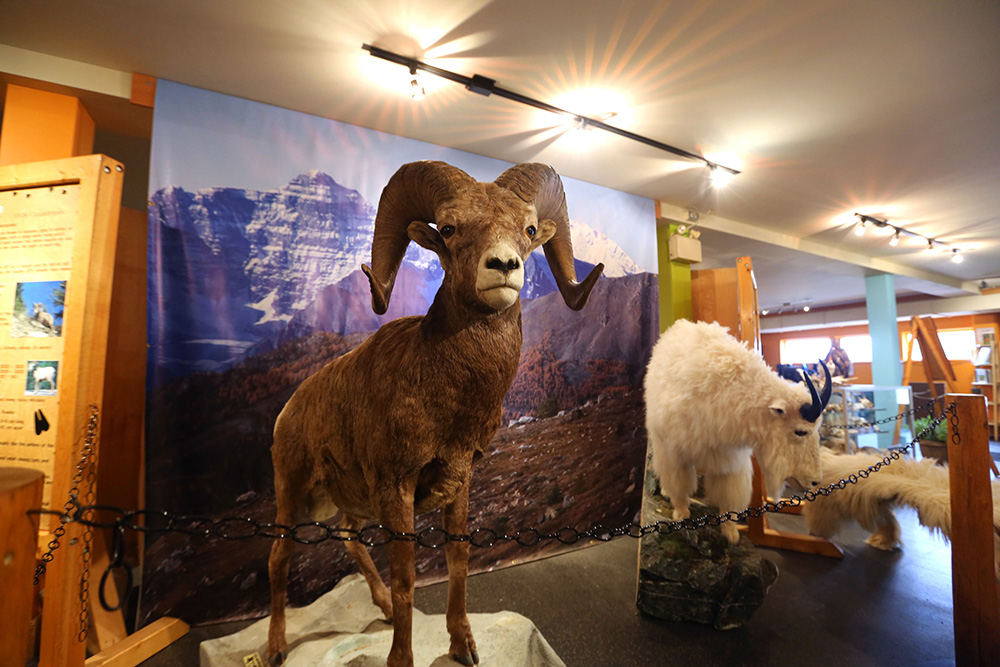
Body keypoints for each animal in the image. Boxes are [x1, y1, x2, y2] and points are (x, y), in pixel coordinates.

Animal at [266, 161, 603, 667]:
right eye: (448, 228)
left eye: (528, 230)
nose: (504, 266)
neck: (447, 401)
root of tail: (287, 409)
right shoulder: (396, 489)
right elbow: (407, 582)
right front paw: (401, 658)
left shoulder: (459, 482)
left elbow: (456, 563)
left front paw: (463, 646)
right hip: (292, 494)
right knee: (279, 556)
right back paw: (276, 648)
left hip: (348, 503)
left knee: (347, 536)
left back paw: (381, 609)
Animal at [643, 319, 831, 544]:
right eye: (800, 432)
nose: (815, 481)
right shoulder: (676, 452)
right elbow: (679, 484)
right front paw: (681, 512)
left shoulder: (730, 461)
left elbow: (728, 496)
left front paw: (731, 533)